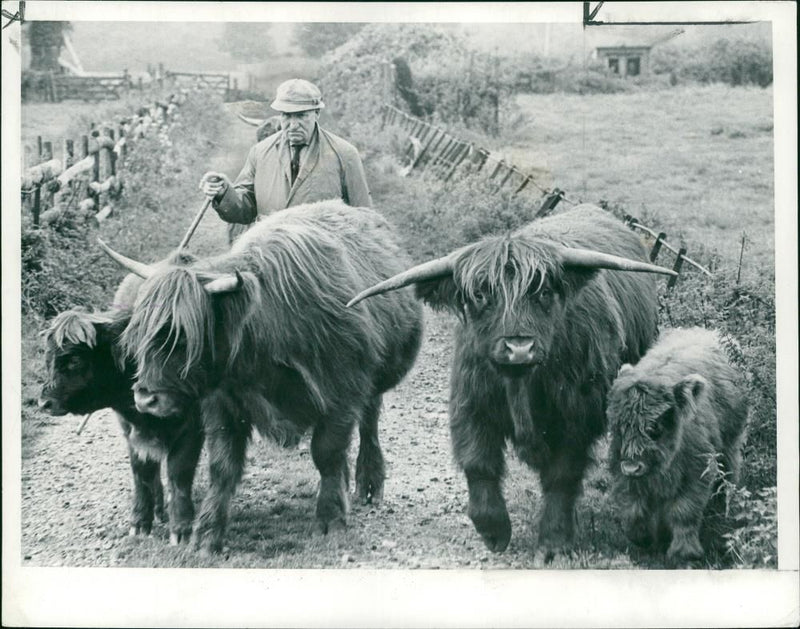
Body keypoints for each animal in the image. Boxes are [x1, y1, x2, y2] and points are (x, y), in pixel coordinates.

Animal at [39, 253, 205, 544]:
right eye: (48, 357)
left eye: (74, 359)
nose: (44, 402)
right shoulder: (131, 430)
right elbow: (141, 474)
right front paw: (140, 521)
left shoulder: (192, 427)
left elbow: (179, 474)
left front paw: (182, 527)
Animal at [98, 199, 424, 552]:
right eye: (137, 334)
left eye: (182, 338)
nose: (145, 398)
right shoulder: (223, 404)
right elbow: (222, 466)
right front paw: (208, 533)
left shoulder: (342, 395)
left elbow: (327, 454)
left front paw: (331, 518)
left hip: (376, 379)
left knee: (369, 423)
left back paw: (369, 483)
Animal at [350, 205, 676, 556]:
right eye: (480, 296)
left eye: (543, 292)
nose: (519, 347)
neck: (521, 386)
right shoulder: (470, 405)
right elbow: (479, 464)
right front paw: (494, 530)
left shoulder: (576, 419)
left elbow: (561, 477)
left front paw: (554, 540)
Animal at [608, 326, 752, 560]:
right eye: (620, 425)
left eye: (654, 427)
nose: (632, 466)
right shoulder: (623, 471)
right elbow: (633, 509)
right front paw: (643, 539)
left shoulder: (696, 473)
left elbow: (684, 513)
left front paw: (684, 551)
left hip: (730, 445)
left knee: (728, 473)